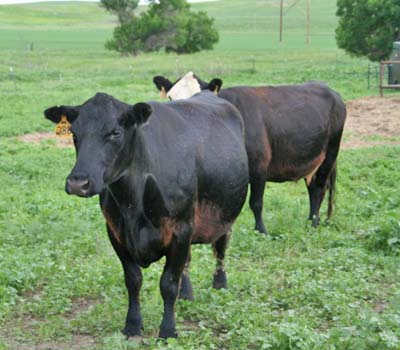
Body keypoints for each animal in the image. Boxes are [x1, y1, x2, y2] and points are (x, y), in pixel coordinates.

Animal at [44, 91, 250, 338]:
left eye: (116, 132)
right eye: (74, 133)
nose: (77, 183)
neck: (133, 201)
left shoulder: (181, 229)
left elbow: (168, 283)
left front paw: (168, 330)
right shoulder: (115, 232)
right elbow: (133, 280)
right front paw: (132, 324)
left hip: (224, 216)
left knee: (220, 249)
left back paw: (220, 285)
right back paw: (186, 294)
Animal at [153, 74, 346, 234]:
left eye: (198, 96)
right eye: (170, 97)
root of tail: (330, 90)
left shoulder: (259, 165)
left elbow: (256, 202)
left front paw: (261, 231)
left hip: (330, 153)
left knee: (319, 188)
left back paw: (313, 224)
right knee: (313, 189)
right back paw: (311, 221)